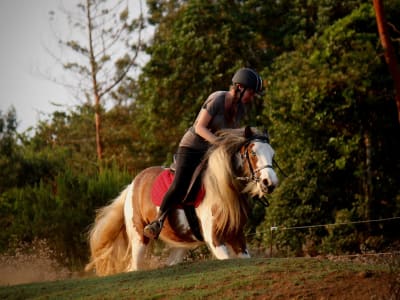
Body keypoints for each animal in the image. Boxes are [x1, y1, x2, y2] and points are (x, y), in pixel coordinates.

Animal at [84, 125, 278, 276]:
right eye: (253, 152)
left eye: (272, 154)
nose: (270, 183)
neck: (222, 189)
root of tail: (132, 185)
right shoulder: (214, 239)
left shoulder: (237, 236)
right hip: (139, 238)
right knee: (134, 266)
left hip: (179, 243)